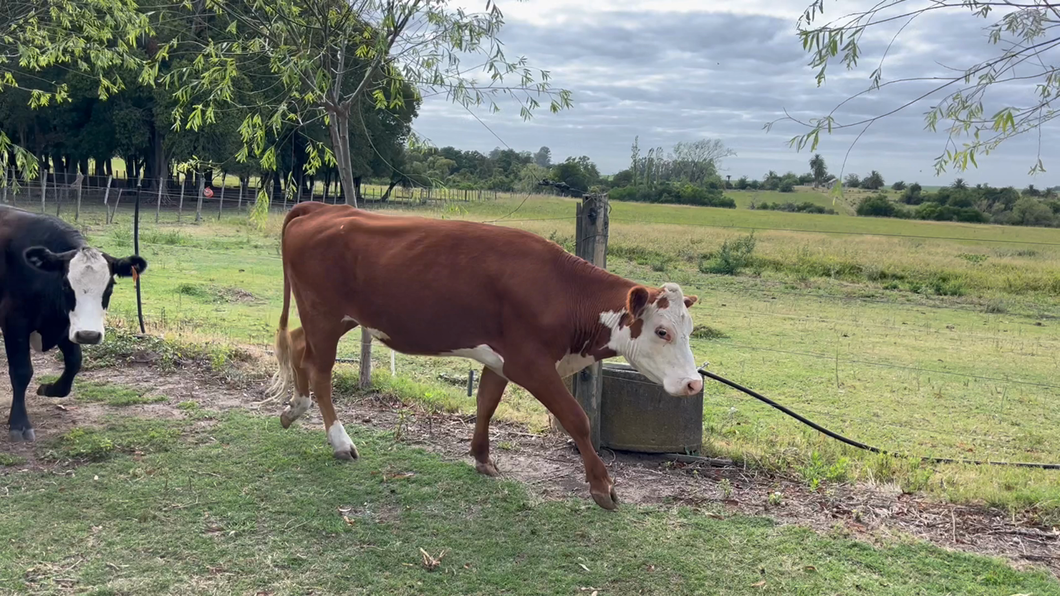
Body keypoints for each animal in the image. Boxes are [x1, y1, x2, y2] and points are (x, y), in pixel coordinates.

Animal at [0, 205, 147, 441]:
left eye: (110, 286)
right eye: (66, 285)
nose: (89, 335)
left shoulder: (68, 326)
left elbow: (74, 363)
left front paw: (49, 388)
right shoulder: (14, 321)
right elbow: (21, 371)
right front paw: (19, 423)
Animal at [269, 201, 703, 509]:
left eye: (689, 330)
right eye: (662, 331)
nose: (693, 383)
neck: (561, 291)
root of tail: (326, 209)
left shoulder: (501, 360)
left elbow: (485, 404)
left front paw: (482, 459)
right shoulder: (531, 365)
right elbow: (577, 419)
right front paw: (603, 487)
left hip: (333, 318)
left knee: (298, 345)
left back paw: (295, 408)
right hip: (324, 313)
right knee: (320, 370)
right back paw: (340, 442)